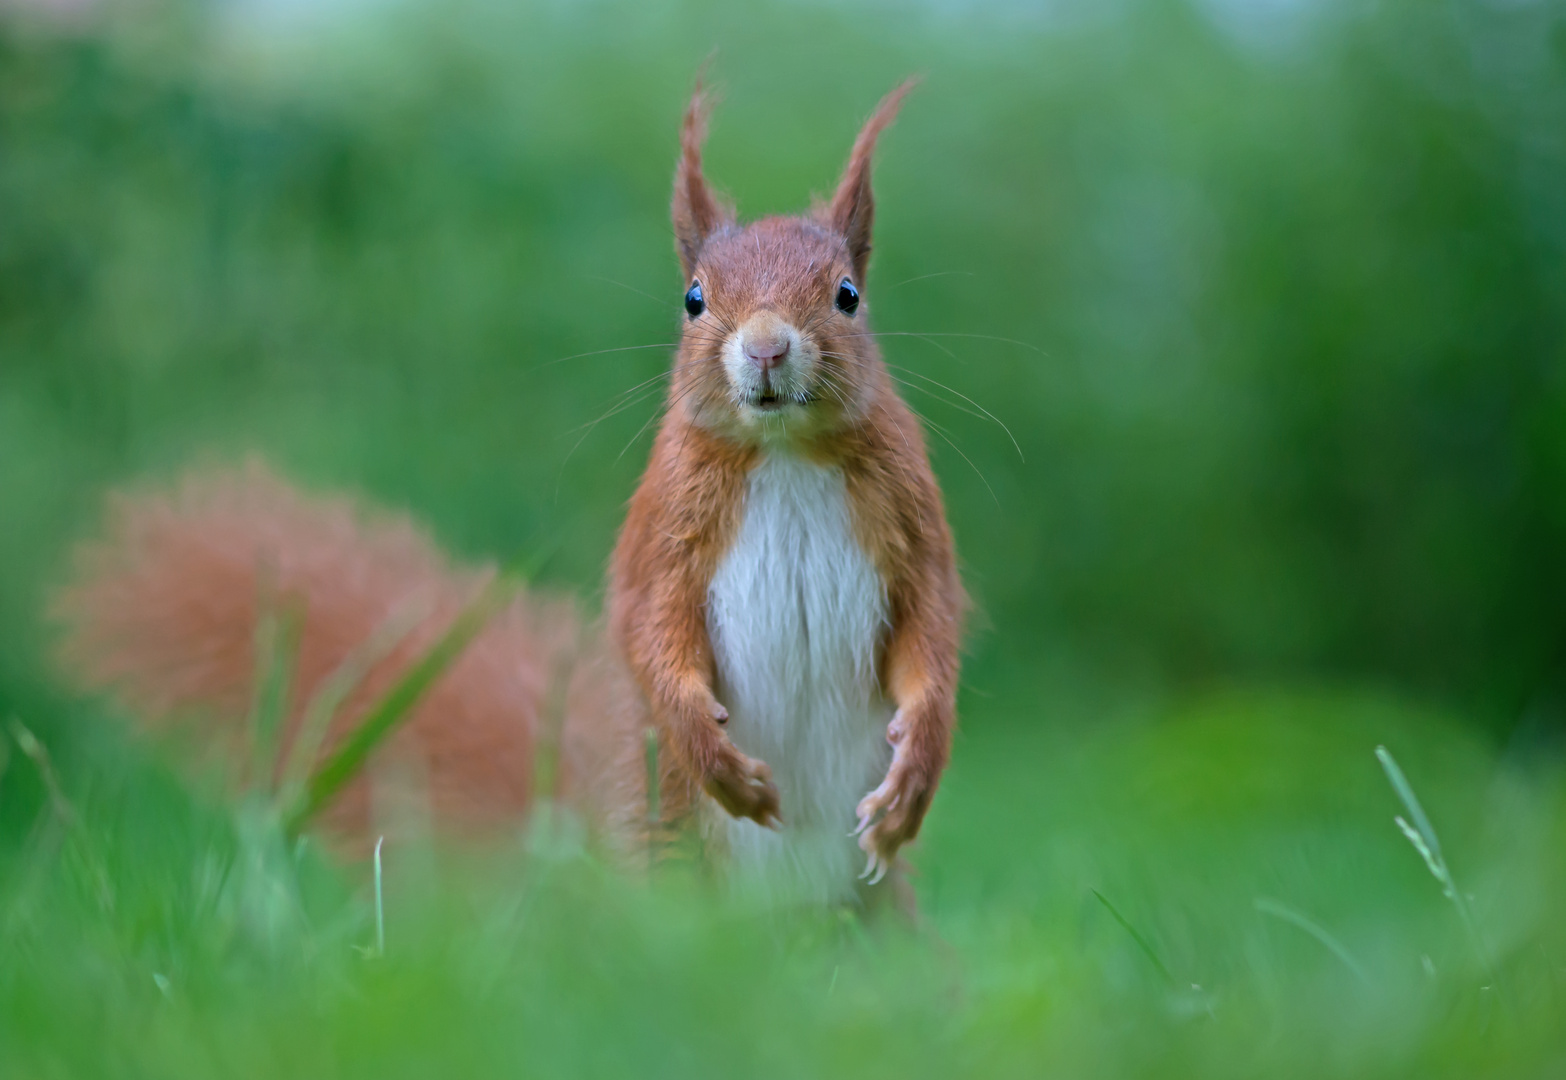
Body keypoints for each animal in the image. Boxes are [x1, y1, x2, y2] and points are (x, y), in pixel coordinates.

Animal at [55, 77, 958, 901]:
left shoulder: (912, 525)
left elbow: (933, 633)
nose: (768, 346)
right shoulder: (662, 536)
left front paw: (914, 777)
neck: (783, 454)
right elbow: (649, 635)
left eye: (848, 295)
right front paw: (719, 761)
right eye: (694, 298)